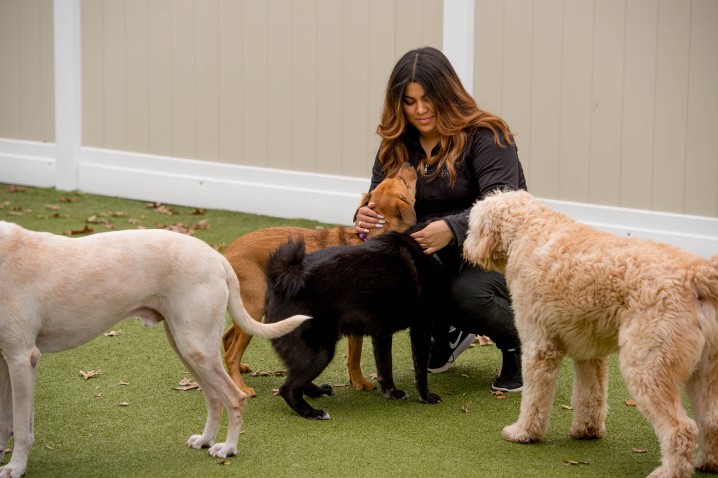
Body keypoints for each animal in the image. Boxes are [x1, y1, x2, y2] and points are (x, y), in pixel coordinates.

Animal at [0, 222, 312, 476]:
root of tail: (218, 257)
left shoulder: (22, 359)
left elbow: (21, 426)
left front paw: (15, 468)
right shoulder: (6, 361)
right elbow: (8, 421)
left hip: (195, 347)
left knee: (235, 397)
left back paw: (228, 449)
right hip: (185, 346)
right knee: (213, 397)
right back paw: (205, 440)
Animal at [222, 163, 420, 396]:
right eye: (404, 182)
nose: (408, 164)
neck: (367, 238)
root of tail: (225, 254)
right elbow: (355, 356)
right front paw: (360, 382)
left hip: (247, 310)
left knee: (227, 338)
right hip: (255, 305)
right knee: (231, 353)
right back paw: (241, 387)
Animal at [266, 232, 450, 418]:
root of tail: (283, 279)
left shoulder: (382, 333)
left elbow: (385, 367)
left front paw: (392, 393)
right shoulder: (422, 327)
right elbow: (420, 371)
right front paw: (426, 397)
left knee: (297, 379)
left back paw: (318, 392)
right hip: (320, 352)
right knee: (288, 389)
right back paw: (313, 413)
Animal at [464, 190, 716, 478]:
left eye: (472, 227)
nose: (464, 248)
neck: (528, 231)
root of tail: (695, 273)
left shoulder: (539, 348)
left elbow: (533, 399)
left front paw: (523, 432)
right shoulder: (589, 354)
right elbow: (590, 396)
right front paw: (587, 431)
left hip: (647, 368)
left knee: (682, 428)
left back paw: (668, 472)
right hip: (704, 374)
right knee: (711, 421)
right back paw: (707, 463)